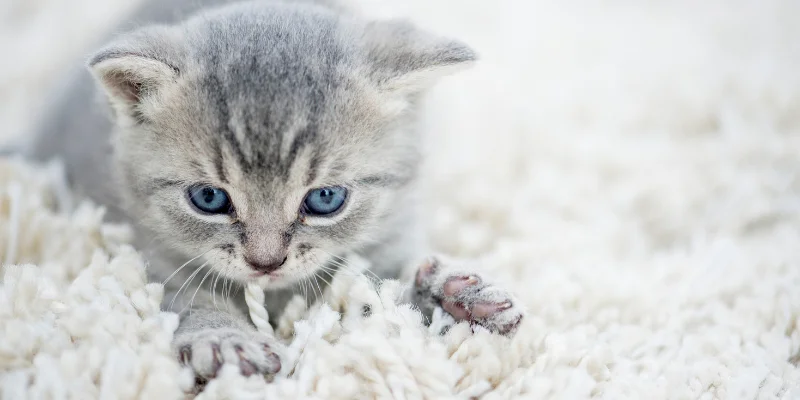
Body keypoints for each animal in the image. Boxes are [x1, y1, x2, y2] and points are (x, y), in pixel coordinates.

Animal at [25, 0, 524, 382]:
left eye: (325, 199)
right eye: (209, 199)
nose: (266, 262)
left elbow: (385, 290)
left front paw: (452, 298)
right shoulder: (149, 253)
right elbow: (185, 298)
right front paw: (220, 336)